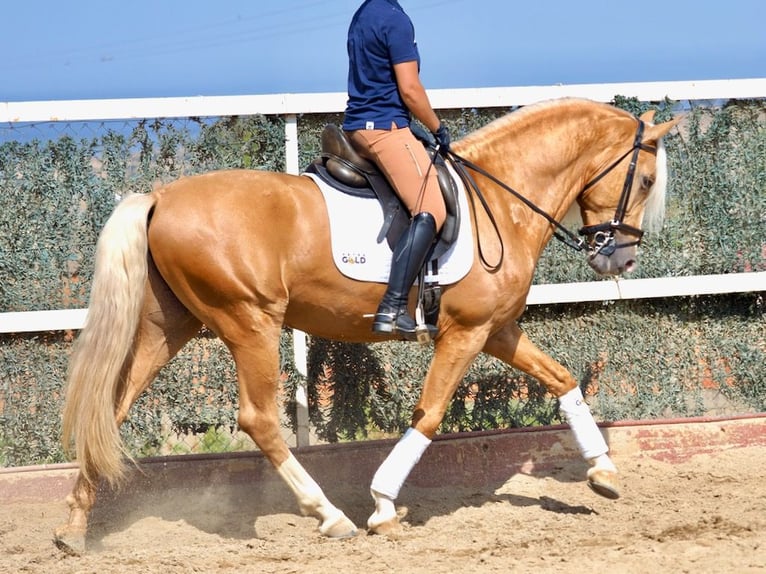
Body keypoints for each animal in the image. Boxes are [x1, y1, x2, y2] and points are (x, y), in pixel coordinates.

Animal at [52, 97, 680, 556]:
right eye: (647, 180)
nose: (620, 260)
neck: (499, 198)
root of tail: (159, 196)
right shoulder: (466, 332)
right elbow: (430, 414)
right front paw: (381, 505)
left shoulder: (497, 330)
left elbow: (562, 379)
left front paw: (603, 470)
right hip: (251, 321)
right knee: (258, 419)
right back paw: (330, 515)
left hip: (169, 326)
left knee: (110, 408)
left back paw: (75, 529)